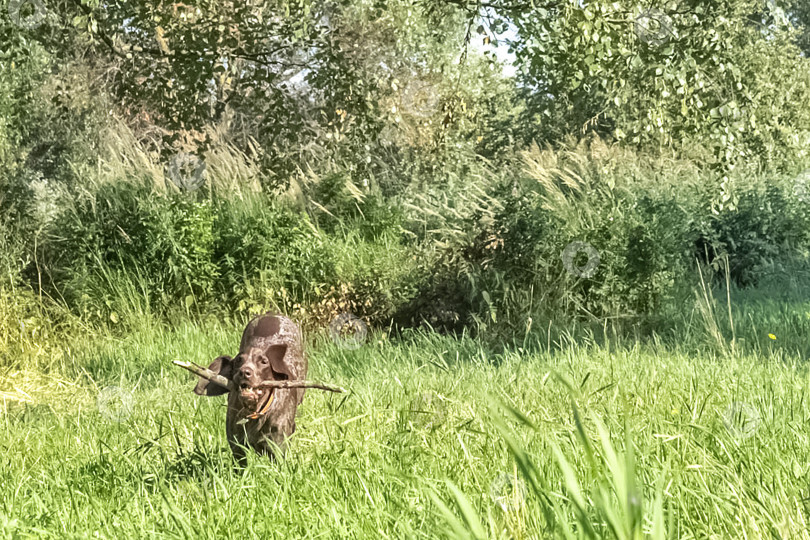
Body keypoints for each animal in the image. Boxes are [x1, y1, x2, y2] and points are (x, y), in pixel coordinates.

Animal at [194, 314, 308, 462]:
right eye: (238, 360)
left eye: (264, 362)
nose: (244, 372)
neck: (253, 413)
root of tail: (272, 313)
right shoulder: (237, 446)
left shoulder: (277, 448)